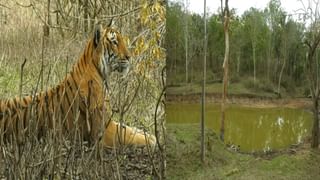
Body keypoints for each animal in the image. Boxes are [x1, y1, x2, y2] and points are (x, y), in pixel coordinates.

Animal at [0, 20, 156, 148]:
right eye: (114, 42)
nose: (129, 57)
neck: (99, 70)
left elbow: (130, 128)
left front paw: (148, 133)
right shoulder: (104, 131)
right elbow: (131, 136)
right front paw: (152, 140)